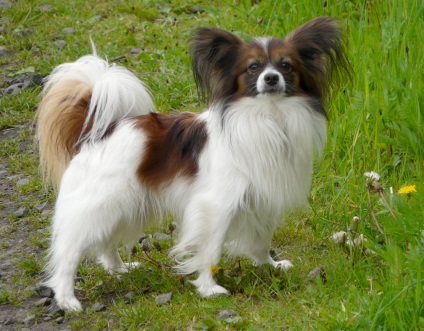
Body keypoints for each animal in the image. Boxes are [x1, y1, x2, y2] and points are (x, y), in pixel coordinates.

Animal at [35, 16, 348, 312]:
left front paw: (270, 265)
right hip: (102, 202)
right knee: (69, 251)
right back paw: (67, 299)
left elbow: (261, 240)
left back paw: (119, 269)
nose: (271, 78)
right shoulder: (216, 206)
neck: (268, 118)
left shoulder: (261, 200)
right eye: (253, 68)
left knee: (106, 242)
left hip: (126, 206)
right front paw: (209, 289)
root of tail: (98, 132)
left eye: (286, 66)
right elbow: (210, 249)